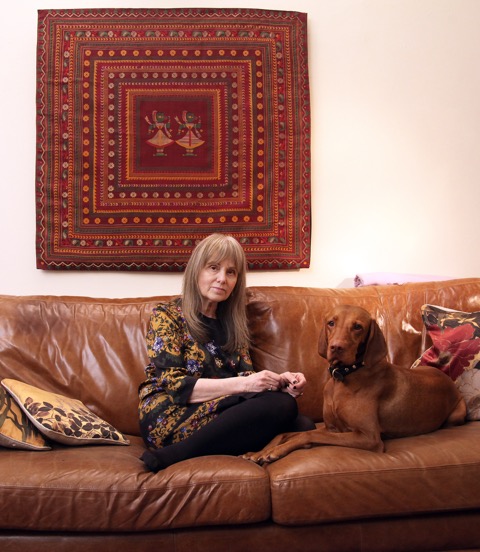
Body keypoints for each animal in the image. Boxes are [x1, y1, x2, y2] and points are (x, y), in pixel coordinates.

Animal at [243, 304, 466, 464]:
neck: (343, 377)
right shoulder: (333, 428)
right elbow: (285, 432)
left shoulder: (368, 437)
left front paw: (275, 451)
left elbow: (305, 434)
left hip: (458, 414)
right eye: (331, 323)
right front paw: (259, 451)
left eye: (358, 326)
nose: (336, 347)